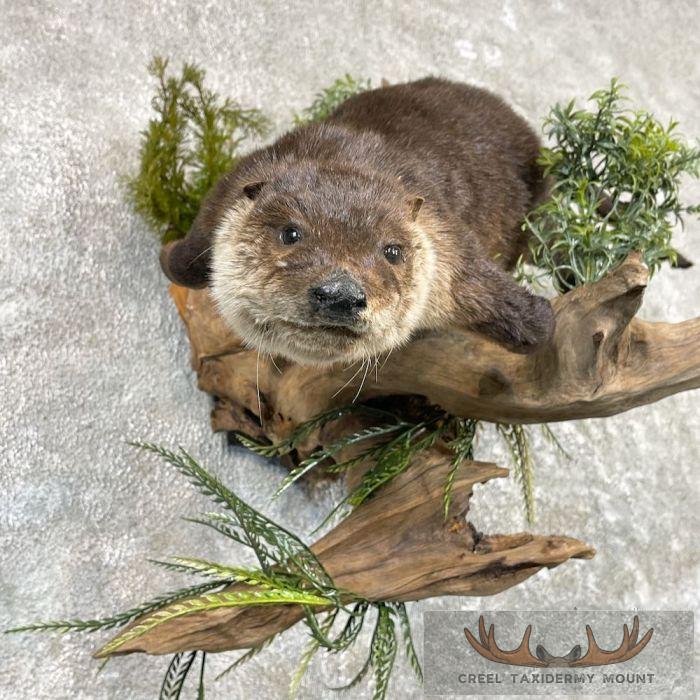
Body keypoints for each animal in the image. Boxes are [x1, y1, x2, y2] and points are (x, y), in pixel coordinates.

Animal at [160, 78, 554, 366]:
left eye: (392, 251)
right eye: (291, 233)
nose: (340, 294)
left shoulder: (445, 238)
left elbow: (518, 310)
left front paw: (536, 317)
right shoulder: (240, 180)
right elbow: (185, 261)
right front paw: (170, 254)